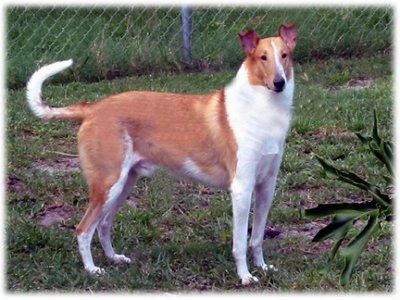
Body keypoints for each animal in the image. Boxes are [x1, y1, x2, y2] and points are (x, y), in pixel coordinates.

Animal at [26, 23, 296, 284]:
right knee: (83, 229)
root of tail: (92, 109)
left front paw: (262, 267)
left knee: (103, 225)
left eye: (284, 55)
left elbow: (257, 237)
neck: (260, 109)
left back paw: (114, 259)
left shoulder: (266, 186)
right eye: (262, 57)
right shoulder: (241, 188)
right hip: (108, 184)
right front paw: (245, 276)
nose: (279, 83)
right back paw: (93, 270)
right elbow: (240, 243)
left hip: (123, 185)